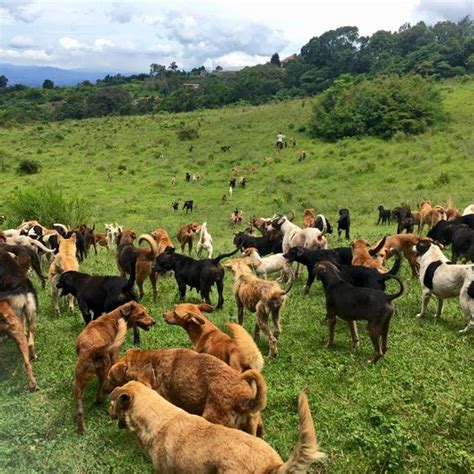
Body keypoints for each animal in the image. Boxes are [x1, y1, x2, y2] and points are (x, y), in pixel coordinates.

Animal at [73, 304, 156, 434]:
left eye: (146, 312)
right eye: (142, 314)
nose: (154, 322)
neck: (115, 316)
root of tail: (94, 349)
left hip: (78, 381)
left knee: (80, 409)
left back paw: (81, 428)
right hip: (103, 371)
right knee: (100, 390)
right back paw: (100, 400)